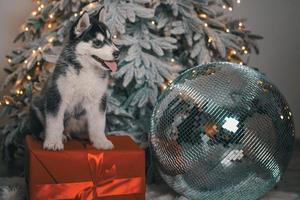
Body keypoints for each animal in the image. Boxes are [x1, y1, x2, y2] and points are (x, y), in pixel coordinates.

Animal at [29, 9, 119, 150]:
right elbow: (55, 123)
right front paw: (53, 142)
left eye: (111, 40)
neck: (86, 71)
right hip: (36, 106)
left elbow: (98, 123)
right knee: (41, 128)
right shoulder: (57, 96)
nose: (117, 53)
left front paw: (100, 141)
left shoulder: (98, 100)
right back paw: (53, 135)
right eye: (97, 43)